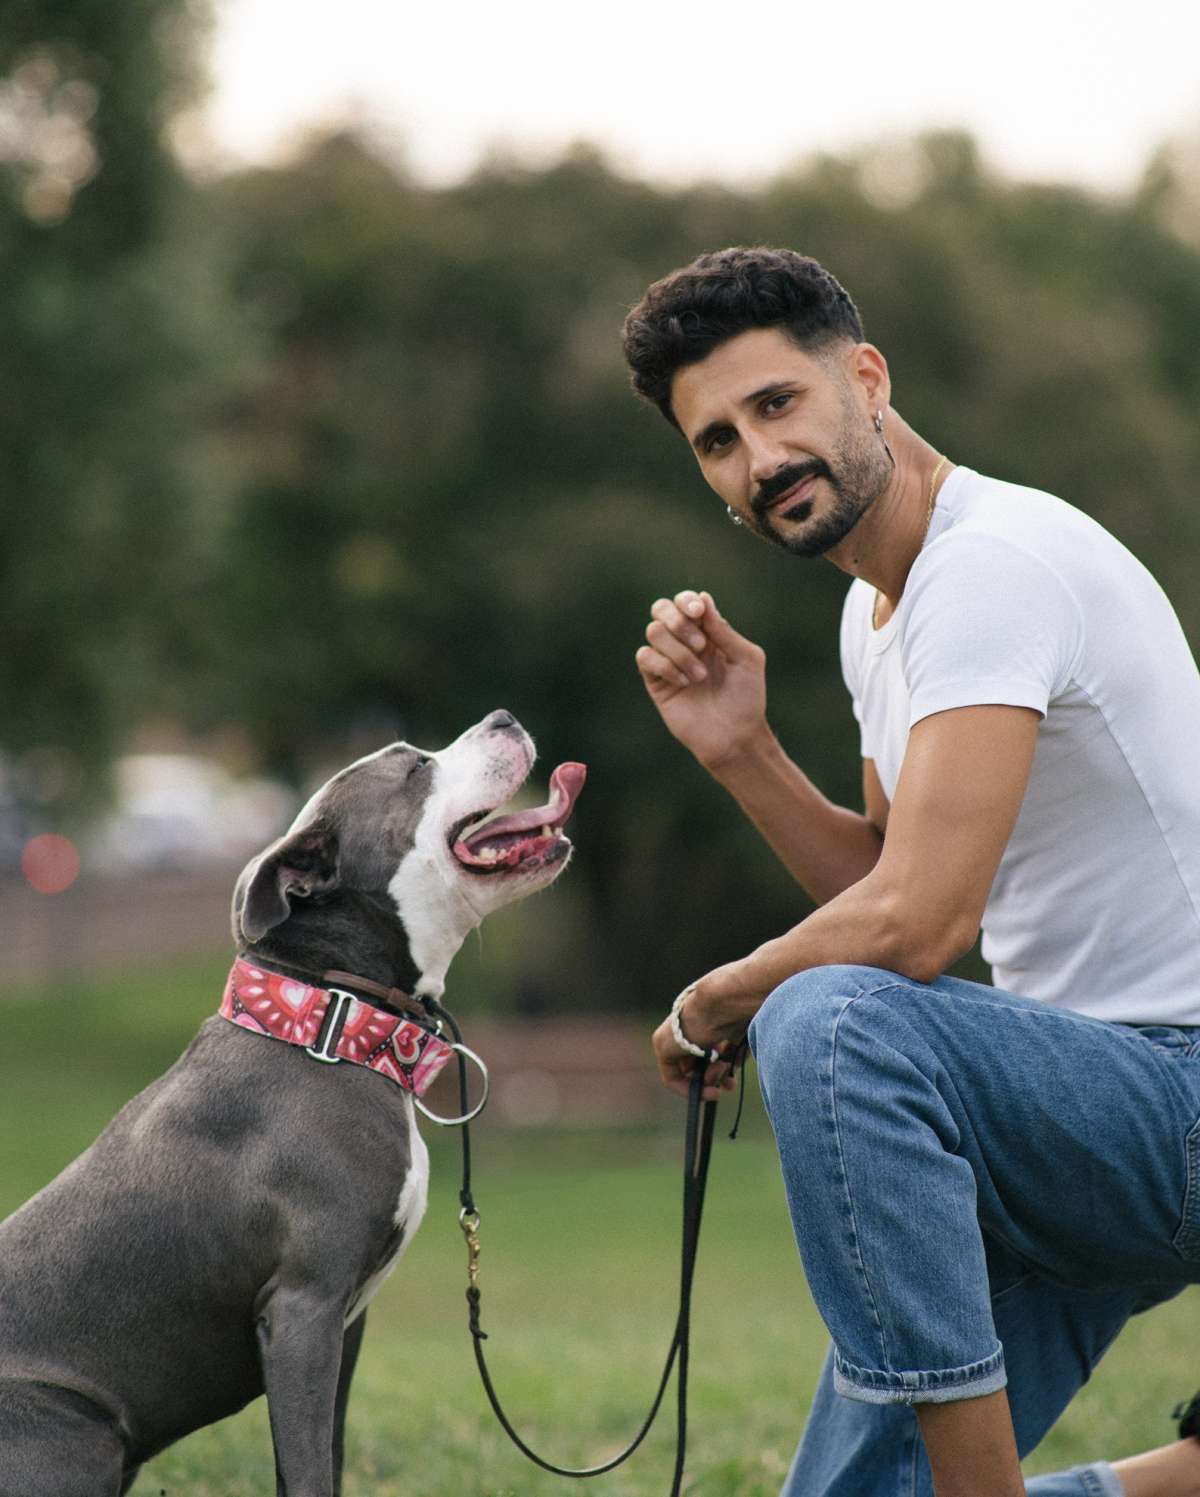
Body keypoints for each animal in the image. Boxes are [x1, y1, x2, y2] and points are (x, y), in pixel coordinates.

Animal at [0, 709, 583, 1497]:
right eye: (414, 765)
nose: (504, 717)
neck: (328, 1022)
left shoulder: (344, 1324)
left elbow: (319, 1462)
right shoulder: (304, 1310)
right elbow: (307, 1470)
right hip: (75, 1428)